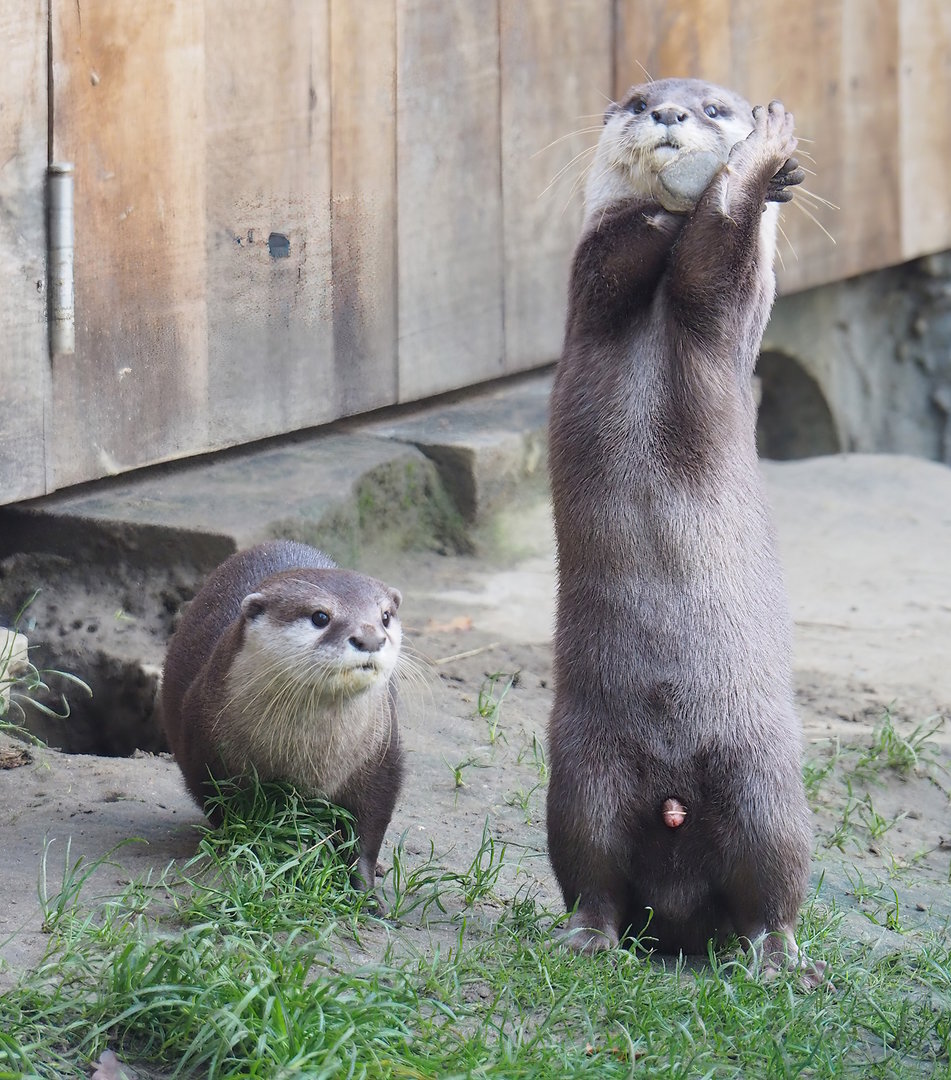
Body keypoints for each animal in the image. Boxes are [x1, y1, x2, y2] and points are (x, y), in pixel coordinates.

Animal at [161, 540, 403, 894]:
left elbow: (368, 833)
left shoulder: (381, 758)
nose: (370, 637)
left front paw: (366, 892)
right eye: (320, 616)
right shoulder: (203, 752)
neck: (307, 758)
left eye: (385, 616)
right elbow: (224, 809)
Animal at [546, 78, 823, 981]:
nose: (667, 116)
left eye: (710, 107)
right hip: (580, 772)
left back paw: (777, 959)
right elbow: (622, 249)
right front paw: (671, 202)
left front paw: (762, 168)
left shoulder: (729, 306)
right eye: (638, 99)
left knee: (771, 889)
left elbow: (715, 253)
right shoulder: (592, 273)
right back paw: (588, 936)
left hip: (768, 786)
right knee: (591, 872)